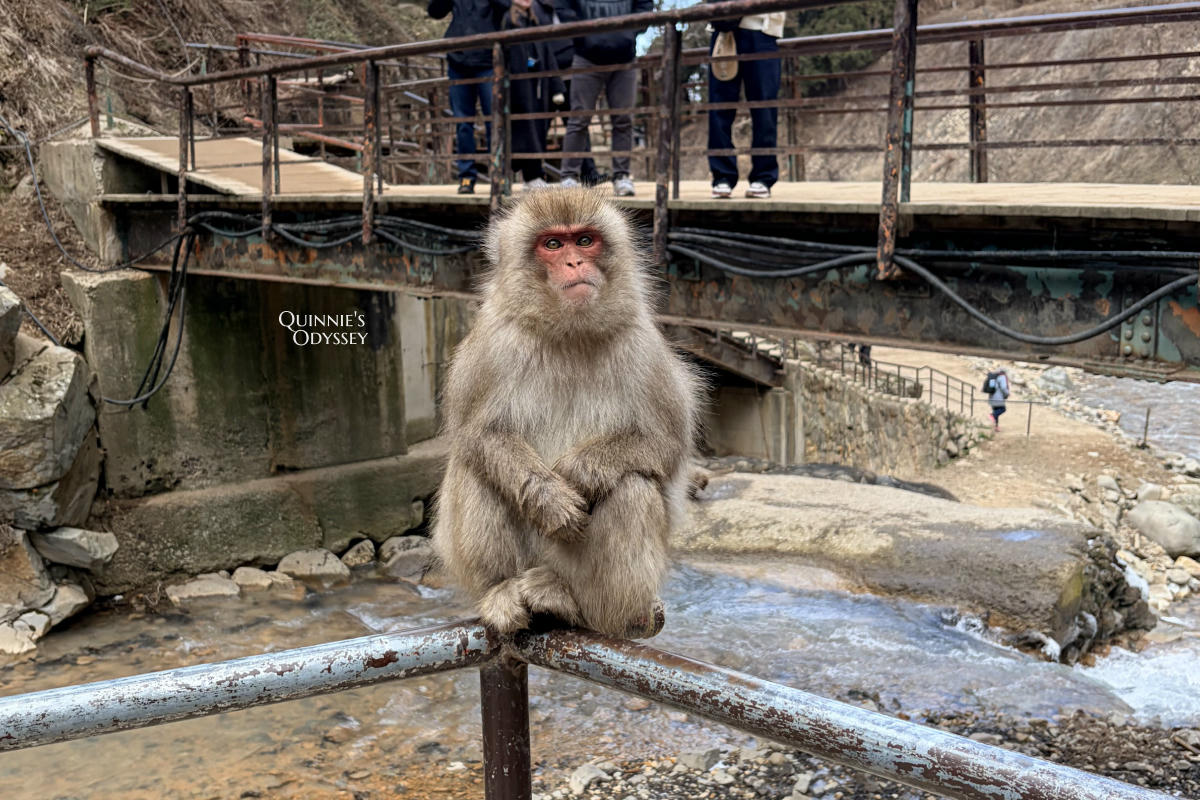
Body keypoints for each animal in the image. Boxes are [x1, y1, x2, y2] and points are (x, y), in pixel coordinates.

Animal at [431, 188, 700, 638]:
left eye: (585, 240)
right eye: (553, 244)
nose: (575, 263)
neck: (569, 332)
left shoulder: (642, 347)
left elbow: (666, 444)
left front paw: (581, 471)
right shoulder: (491, 344)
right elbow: (477, 434)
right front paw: (549, 497)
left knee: (631, 487)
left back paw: (575, 605)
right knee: (476, 468)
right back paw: (501, 590)